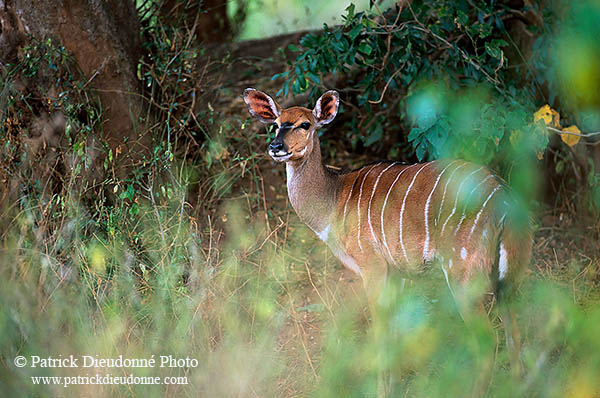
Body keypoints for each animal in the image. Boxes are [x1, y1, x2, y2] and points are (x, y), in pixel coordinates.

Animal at [241, 87, 532, 374]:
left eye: (305, 124)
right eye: (275, 125)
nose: (276, 147)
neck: (334, 202)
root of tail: (504, 199)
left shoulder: (373, 265)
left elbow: (380, 331)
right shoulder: (397, 273)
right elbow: (395, 330)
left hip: (462, 270)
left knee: (489, 339)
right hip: (504, 274)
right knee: (515, 332)